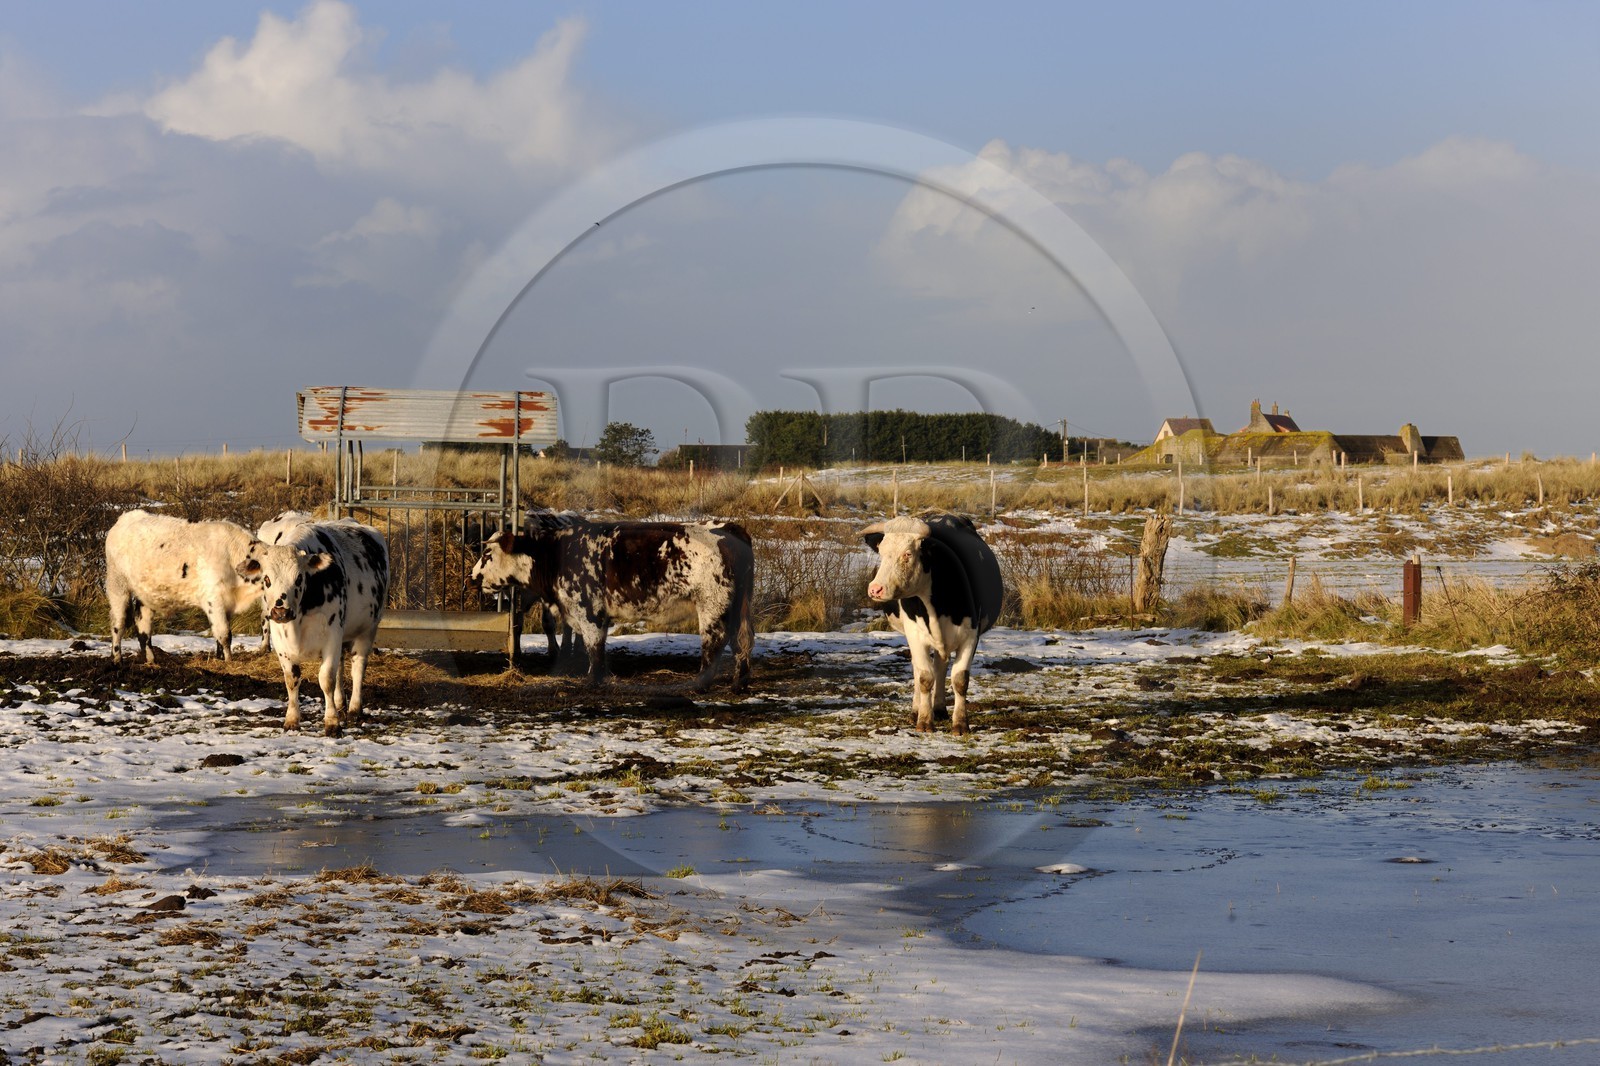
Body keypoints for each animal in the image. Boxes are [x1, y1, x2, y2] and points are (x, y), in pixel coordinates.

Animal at [104, 510, 261, 664]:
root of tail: (126, 517)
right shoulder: (213, 599)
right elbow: (224, 634)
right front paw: (228, 661)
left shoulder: (227, 602)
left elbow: (220, 633)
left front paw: (220, 657)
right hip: (117, 584)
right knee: (118, 622)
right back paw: (117, 659)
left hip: (145, 593)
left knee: (143, 625)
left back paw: (151, 661)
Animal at [235, 519, 390, 737]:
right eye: (266, 579)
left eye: (299, 578)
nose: (281, 612)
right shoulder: (281, 640)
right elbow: (291, 679)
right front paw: (292, 720)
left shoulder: (332, 635)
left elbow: (326, 679)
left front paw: (332, 723)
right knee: (342, 665)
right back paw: (341, 703)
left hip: (368, 628)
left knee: (358, 666)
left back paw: (354, 709)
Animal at [471, 513, 754, 692]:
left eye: (487, 553)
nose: (473, 577)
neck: (554, 555)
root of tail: (728, 528)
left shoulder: (589, 611)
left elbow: (594, 647)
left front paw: (592, 681)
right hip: (735, 607)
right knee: (740, 640)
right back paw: (739, 683)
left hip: (712, 604)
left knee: (714, 642)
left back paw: (700, 684)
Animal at [861, 513, 1003, 735]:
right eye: (882, 553)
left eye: (908, 554)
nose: (875, 589)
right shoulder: (915, 635)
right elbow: (925, 677)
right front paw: (925, 720)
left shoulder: (971, 635)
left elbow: (960, 679)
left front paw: (960, 723)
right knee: (921, 668)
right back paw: (917, 709)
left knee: (941, 666)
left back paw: (939, 708)